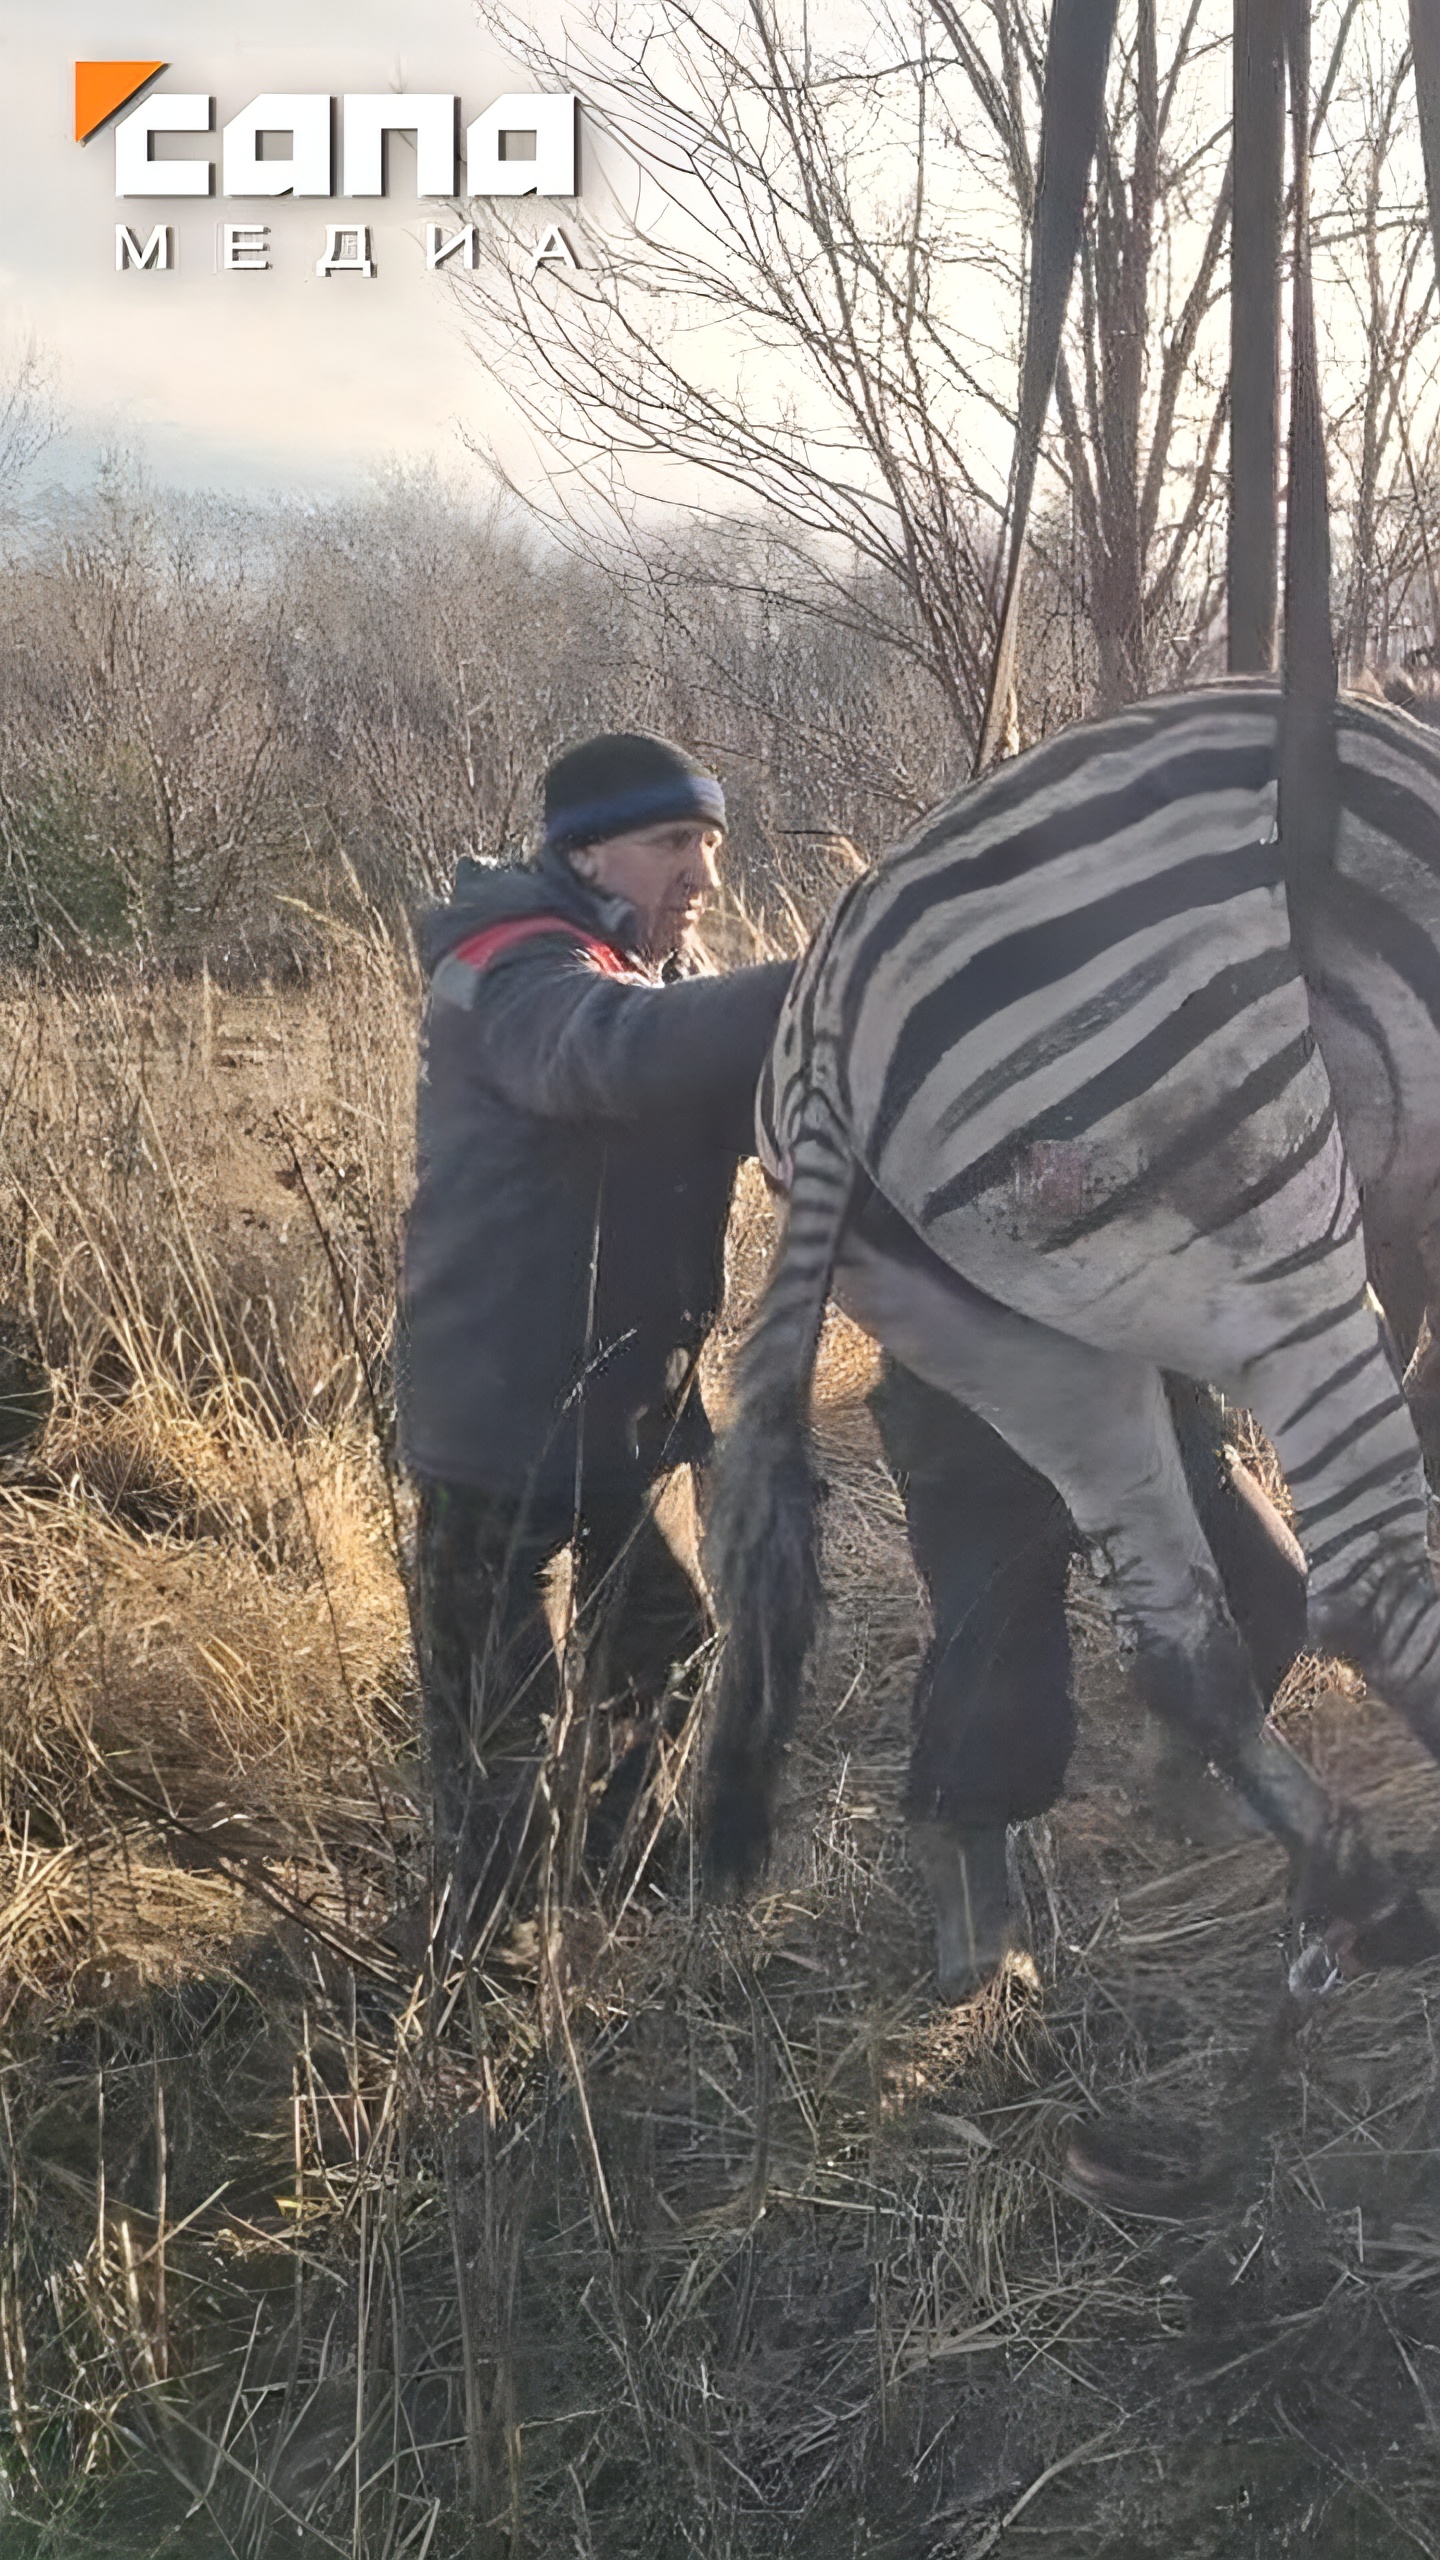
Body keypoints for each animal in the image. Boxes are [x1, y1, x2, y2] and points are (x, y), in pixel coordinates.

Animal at [696, 670, 1440, 1966]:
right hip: (1274, 1250)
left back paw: (1365, 1891)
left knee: (1184, 1643)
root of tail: (826, 1036)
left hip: (1038, 1365)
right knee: (1374, 1588)